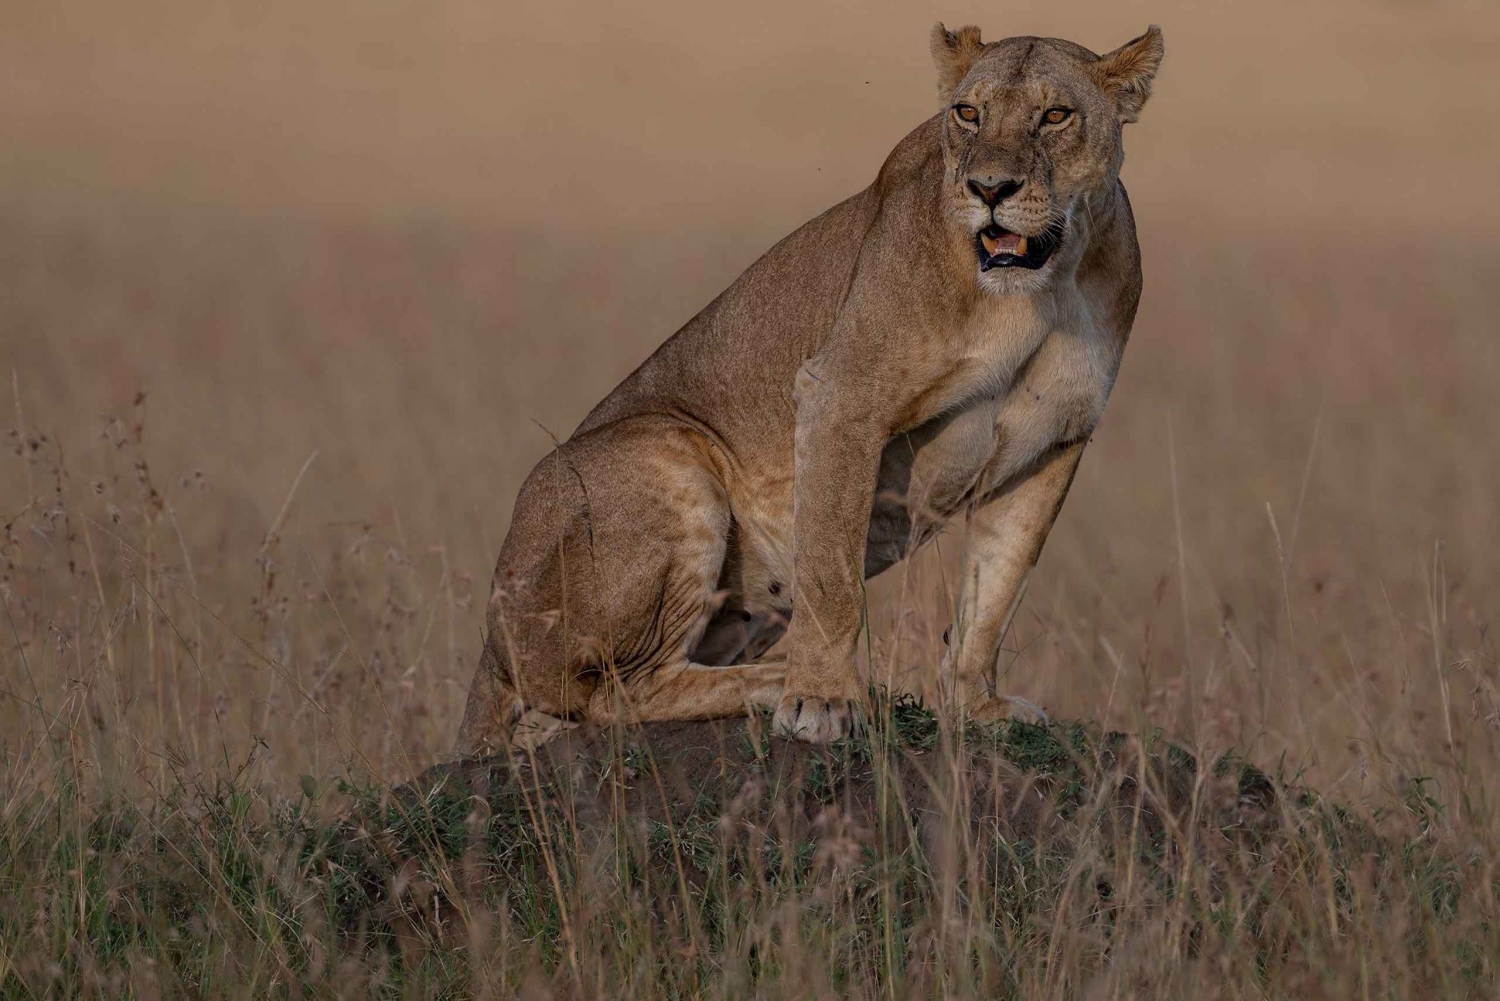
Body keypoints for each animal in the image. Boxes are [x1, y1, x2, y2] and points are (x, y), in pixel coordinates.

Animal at [455, 23, 1164, 752]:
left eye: (1055, 115)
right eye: (968, 113)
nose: (988, 187)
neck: (1040, 292)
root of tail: (489, 651)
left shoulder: (1054, 441)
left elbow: (996, 587)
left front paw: (976, 705)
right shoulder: (841, 392)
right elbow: (831, 572)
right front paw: (821, 700)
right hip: (666, 450)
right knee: (617, 692)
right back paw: (780, 683)